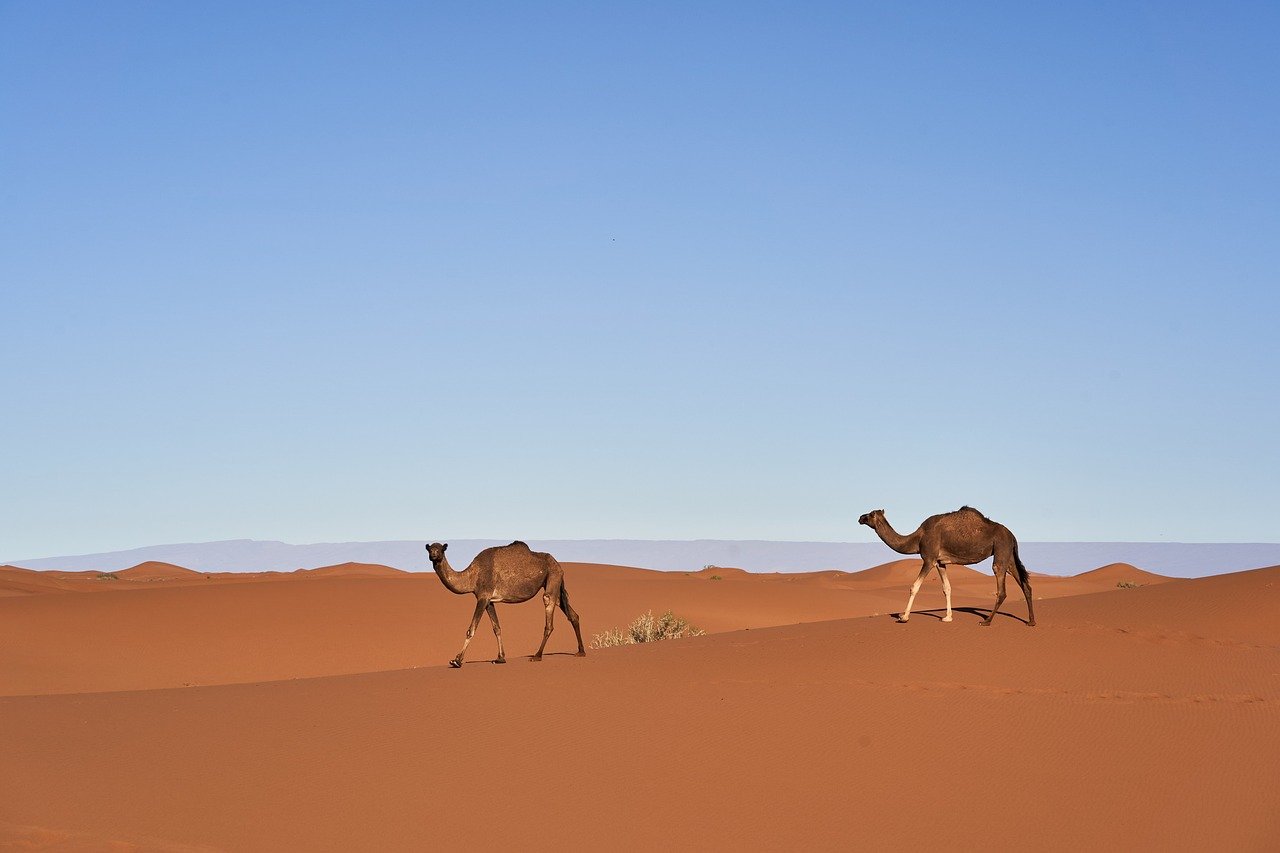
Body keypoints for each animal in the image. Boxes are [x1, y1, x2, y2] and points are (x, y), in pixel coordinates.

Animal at [426, 540, 586, 667]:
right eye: (429, 549)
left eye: (440, 549)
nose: (433, 555)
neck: (471, 577)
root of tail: (558, 564)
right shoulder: (489, 601)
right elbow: (497, 628)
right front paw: (500, 658)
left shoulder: (482, 597)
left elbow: (471, 629)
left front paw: (457, 660)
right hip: (554, 584)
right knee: (571, 613)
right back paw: (581, 651)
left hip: (553, 576)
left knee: (548, 610)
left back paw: (537, 656)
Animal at [858, 506, 1036, 627]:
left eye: (871, 514)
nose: (860, 517)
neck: (917, 538)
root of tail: (1012, 536)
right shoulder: (940, 562)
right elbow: (947, 588)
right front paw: (947, 617)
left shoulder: (929, 558)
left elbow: (914, 587)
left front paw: (903, 617)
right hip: (1008, 555)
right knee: (1024, 584)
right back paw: (1031, 621)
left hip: (1000, 548)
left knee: (1001, 586)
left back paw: (986, 621)